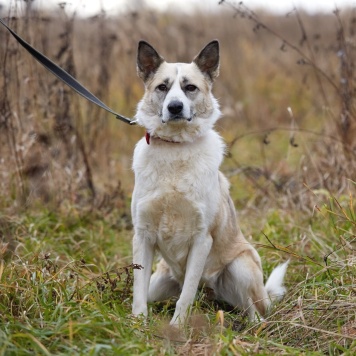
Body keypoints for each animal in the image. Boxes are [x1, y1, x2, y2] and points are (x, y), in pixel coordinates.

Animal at [129, 39, 288, 326]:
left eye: (190, 87)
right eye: (162, 87)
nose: (175, 107)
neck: (176, 149)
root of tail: (211, 293)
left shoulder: (202, 240)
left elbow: (186, 295)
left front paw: (177, 328)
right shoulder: (142, 237)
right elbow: (138, 292)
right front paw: (138, 326)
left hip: (241, 266)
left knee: (255, 311)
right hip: (160, 282)